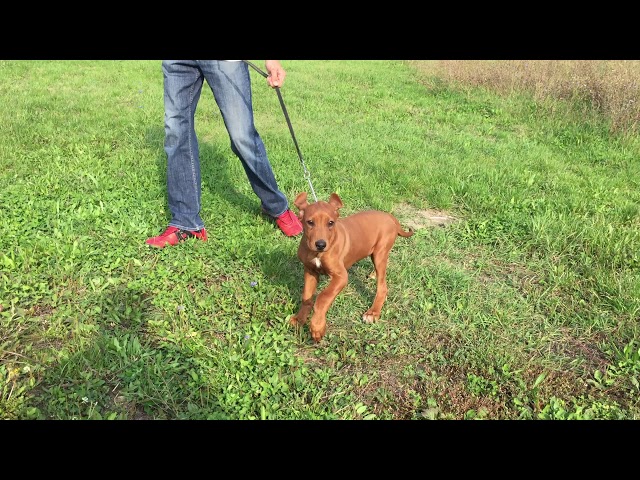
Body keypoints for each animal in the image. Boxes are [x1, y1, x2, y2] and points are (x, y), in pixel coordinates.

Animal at [292, 191, 416, 342]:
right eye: (310, 222)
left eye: (330, 223)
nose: (321, 244)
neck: (317, 253)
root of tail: (390, 217)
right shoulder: (310, 270)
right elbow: (306, 297)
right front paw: (299, 319)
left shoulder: (341, 276)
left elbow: (323, 298)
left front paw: (317, 327)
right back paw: (373, 275)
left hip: (380, 252)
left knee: (382, 287)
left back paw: (373, 313)